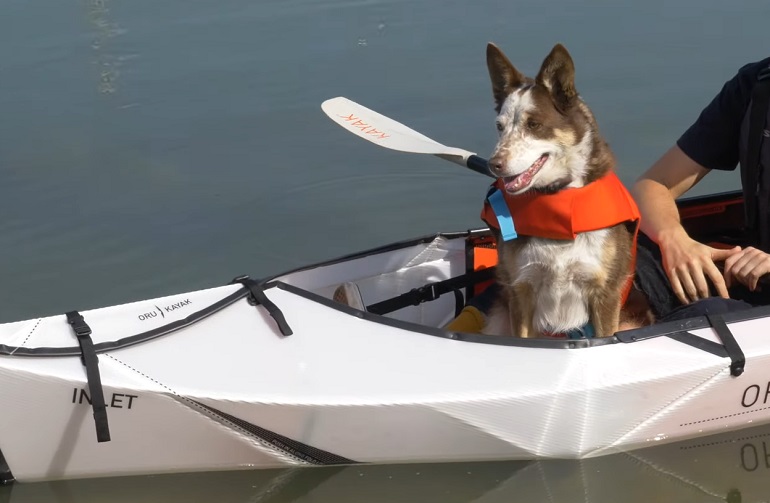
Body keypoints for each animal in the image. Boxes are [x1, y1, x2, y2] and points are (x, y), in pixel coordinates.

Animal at [476, 41, 644, 336]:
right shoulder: (520, 290)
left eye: (533, 124)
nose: (493, 165)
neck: (559, 201)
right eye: (500, 127)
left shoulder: (605, 294)